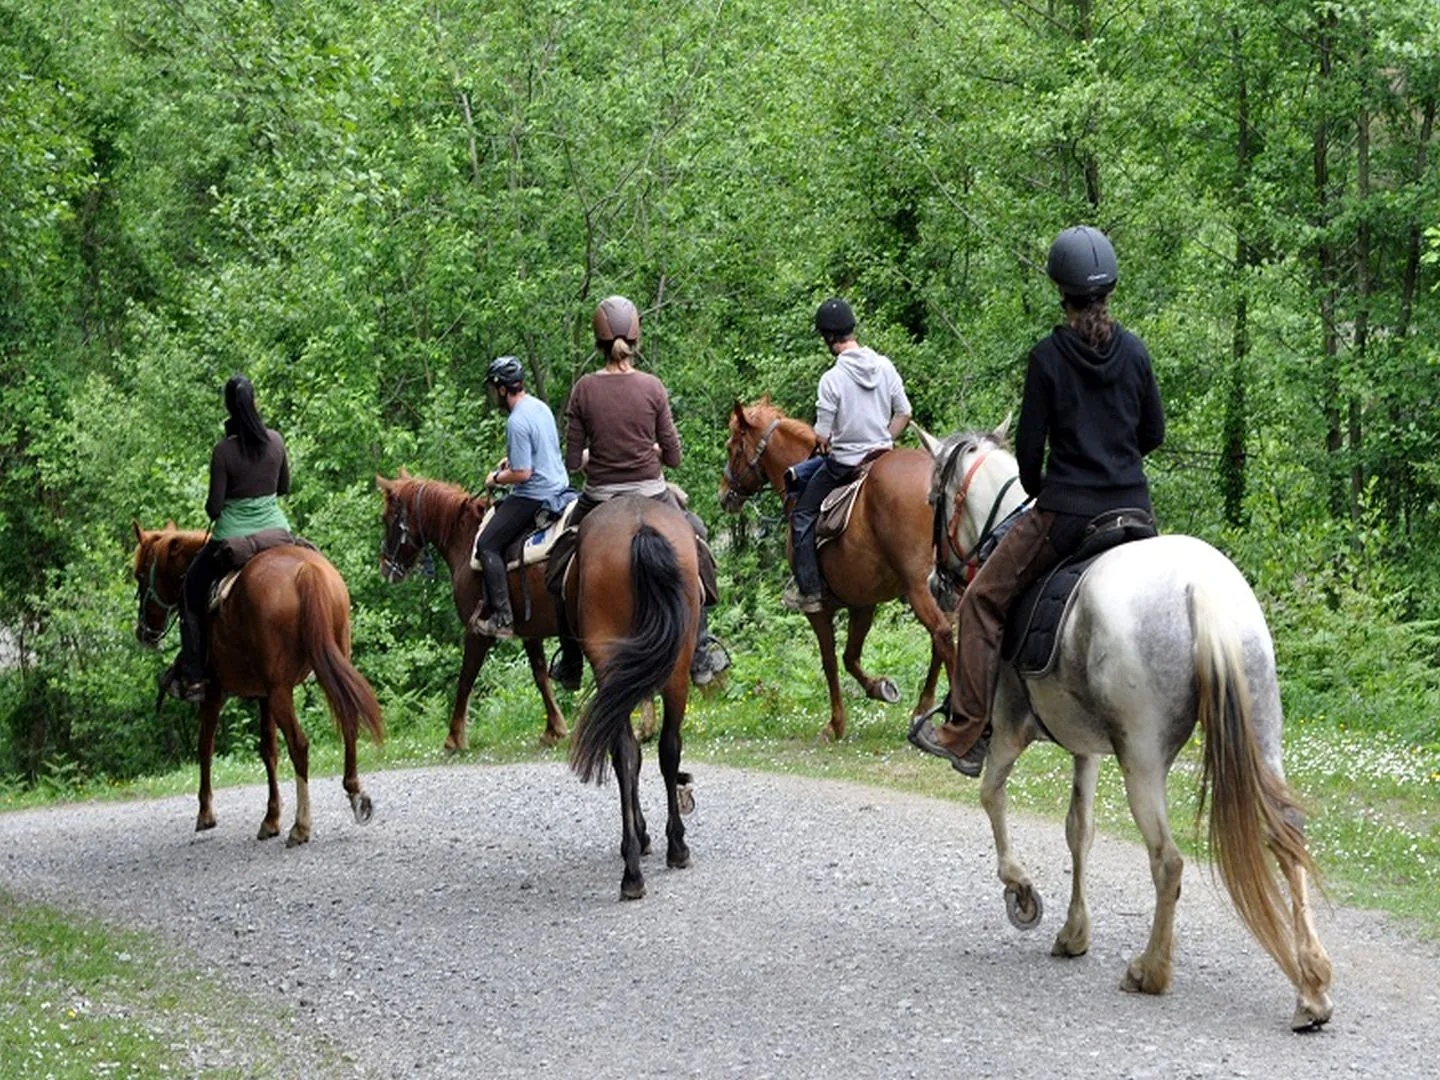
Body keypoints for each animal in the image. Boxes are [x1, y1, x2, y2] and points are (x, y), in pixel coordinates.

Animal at [130, 521, 383, 846]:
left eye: (140, 574)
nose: (144, 632)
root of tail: (306, 572)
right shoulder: (263, 695)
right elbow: (268, 750)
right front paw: (271, 818)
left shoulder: (214, 694)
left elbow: (204, 746)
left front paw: (206, 813)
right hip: (326, 667)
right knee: (348, 721)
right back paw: (355, 795)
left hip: (280, 691)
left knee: (299, 745)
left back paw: (301, 825)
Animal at [377, 472, 567, 754]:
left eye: (386, 517)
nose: (385, 567)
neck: (465, 538)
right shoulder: (530, 632)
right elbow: (541, 675)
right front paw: (554, 730)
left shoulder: (476, 631)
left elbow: (465, 679)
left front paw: (454, 738)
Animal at [564, 495, 699, 898]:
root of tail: (639, 527)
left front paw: (638, 839)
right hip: (673, 667)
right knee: (663, 748)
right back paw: (672, 848)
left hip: (620, 664)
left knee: (632, 751)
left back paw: (634, 870)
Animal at [720, 397, 956, 743]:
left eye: (731, 447)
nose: (724, 495)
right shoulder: (863, 601)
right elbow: (850, 656)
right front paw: (880, 688)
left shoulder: (817, 607)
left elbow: (830, 660)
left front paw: (835, 724)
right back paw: (923, 710)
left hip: (920, 587)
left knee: (943, 634)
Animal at [927, 423, 1330, 1031]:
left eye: (933, 497)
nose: (934, 582)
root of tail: (1201, 589)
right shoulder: (1087, 749)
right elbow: (1079, 830)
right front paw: (1074, 933)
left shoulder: (1010, 729)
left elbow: (992, 796)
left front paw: (1022, 893)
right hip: (1262, 735)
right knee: (1286, 839)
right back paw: (1312, 991)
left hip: (1141, 759)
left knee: (1168, 861)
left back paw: (1150, 970)